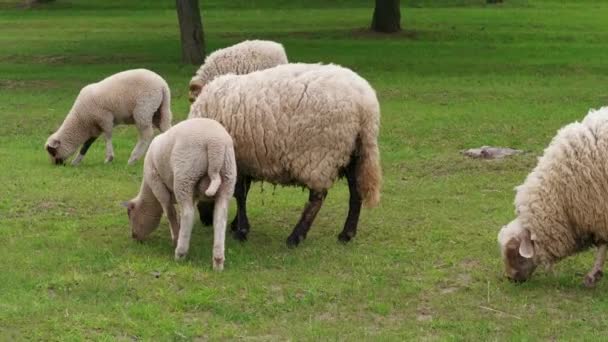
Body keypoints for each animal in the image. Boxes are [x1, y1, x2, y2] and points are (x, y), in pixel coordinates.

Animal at [122, 119, 236, 272]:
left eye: (130, 214)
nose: (134, 236)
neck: (149, 191)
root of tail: (215, 143)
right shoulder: (194, 195)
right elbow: (180, 214)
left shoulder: (157, 184)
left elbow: (170, 213)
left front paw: (175, 237)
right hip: (227, 177)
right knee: (220, 217)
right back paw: (218, 261)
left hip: (185, 175)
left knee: (188, 214)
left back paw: (180, 252)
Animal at [188, 62, 382, 247]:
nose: (206, 221)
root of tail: (365, 103)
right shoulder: (245, 159)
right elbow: (243, 192)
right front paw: (237, 225)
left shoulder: (236, 158)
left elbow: (239, 194)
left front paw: (241, 231)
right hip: (354, 152)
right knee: (356, 192)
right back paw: (346, 234)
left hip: (321, 154)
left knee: (318, 197)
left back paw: (296, 237)